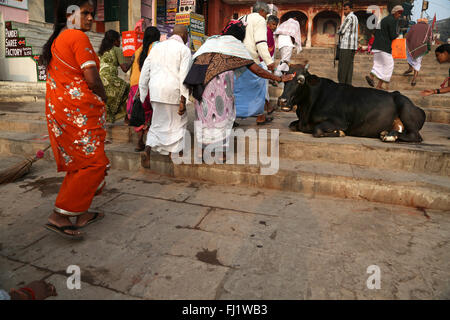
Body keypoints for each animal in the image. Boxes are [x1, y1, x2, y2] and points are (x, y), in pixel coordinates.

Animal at [278, 64, 426, 143]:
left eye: (300, 80)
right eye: (285, 80)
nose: (282, 100)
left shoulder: (341, 122)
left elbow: (317, 130)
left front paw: (339, 133)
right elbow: (292, 125)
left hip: (404, 107)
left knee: (416, 136)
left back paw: (389, 136)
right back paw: (387, 133)